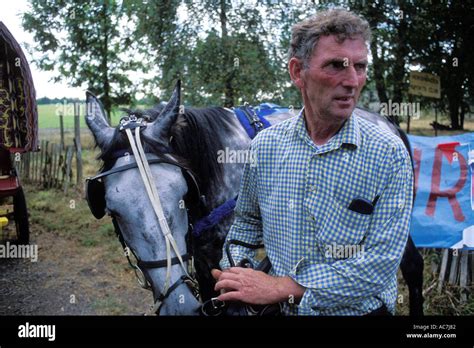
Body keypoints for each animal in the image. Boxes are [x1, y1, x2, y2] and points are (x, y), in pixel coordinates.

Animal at [83, 81, 424, 316]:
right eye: (113, 211)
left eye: (182, 194)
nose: (179, 307)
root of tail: (387, 122)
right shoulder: (204, 255)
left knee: (411, 266)